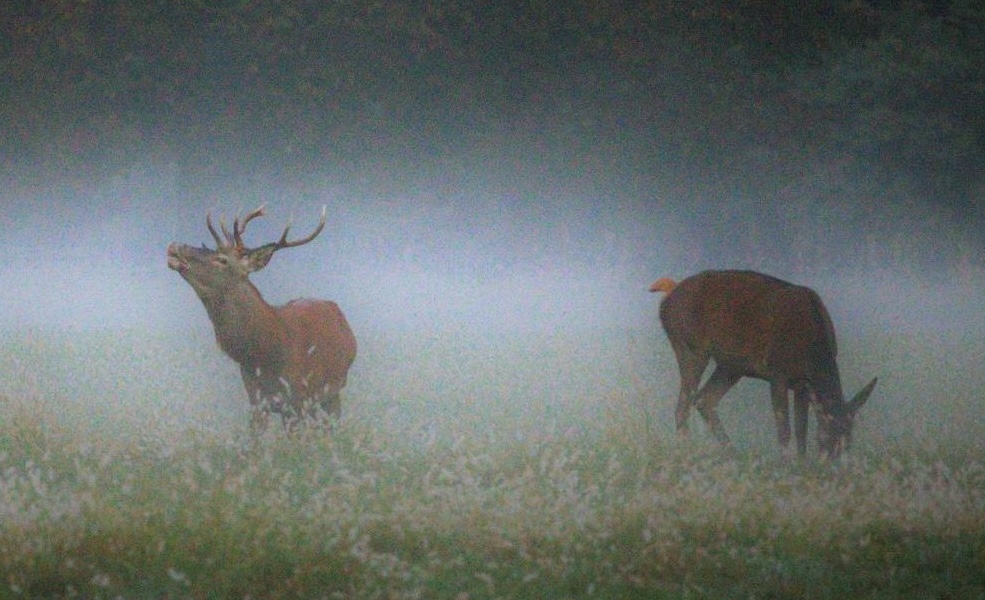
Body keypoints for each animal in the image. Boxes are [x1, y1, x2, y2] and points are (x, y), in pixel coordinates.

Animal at [167, 206, 356, 435]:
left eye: (222, 260)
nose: (175, 246)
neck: (266, 354)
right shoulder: (256, 400)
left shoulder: (297, 399)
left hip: (333, 390)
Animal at [649, 270, 877, 458]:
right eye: (825, 438)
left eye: (849, 443)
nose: (831, 464)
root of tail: (668, 296)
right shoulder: (778, 372)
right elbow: (784, 429)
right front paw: (787, 462)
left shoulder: (801, 383)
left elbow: (801, 429)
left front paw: (802, 462)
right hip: (690, 347)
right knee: (683, 406)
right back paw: (687, 449)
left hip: (731, 366)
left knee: (704, 399)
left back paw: (732, 452)